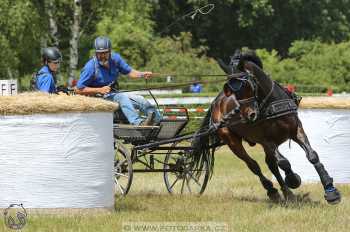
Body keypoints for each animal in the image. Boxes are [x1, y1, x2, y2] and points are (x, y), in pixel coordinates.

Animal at [191, 54, 342, 203]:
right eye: (231, 91)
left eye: (246, 85)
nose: (250, 115)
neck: (272, 104)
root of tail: (215, 103)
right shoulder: (266, 140)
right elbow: (284, 163)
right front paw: (293, 179)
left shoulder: (296, 129)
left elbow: (312, 156)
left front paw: (330, 190)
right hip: (232, 140)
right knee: (254, 165)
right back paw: (273, 191)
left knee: (271, 165)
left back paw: (287, 194)